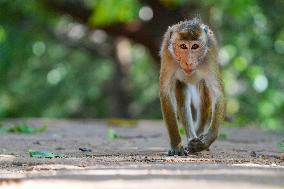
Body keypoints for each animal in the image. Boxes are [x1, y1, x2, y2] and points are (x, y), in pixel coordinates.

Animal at [160, 18, 224, 156]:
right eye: (183, 46)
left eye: (195, 46)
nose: (188, 62)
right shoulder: (167, 55)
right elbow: (165, 93)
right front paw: (177, 145)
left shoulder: (209, 56)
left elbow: (217, 94)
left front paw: (206, 141)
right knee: (182, 98)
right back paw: (191, 137)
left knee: (205, 96)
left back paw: (198, 137)